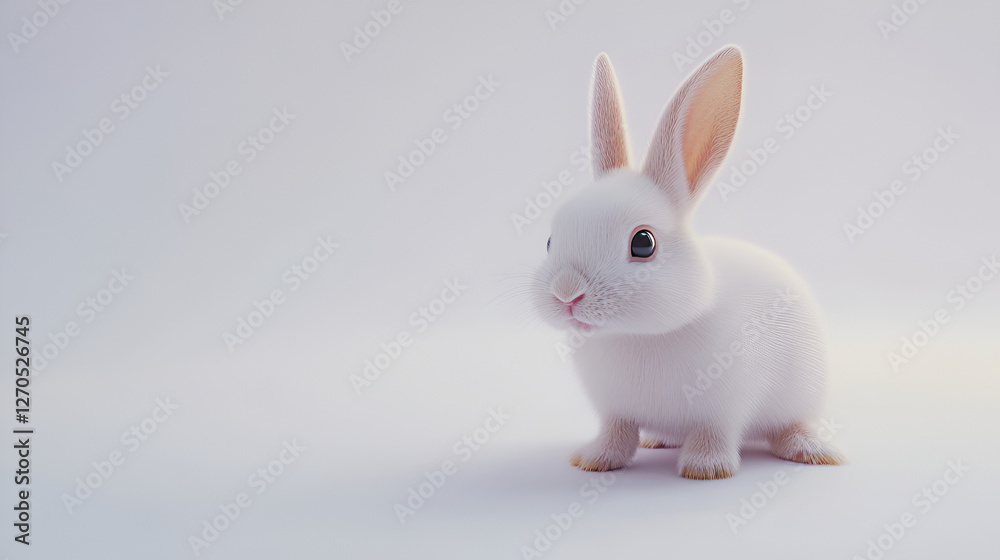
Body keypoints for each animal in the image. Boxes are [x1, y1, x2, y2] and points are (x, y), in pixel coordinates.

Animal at [532, 45, 845, 479]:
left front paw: (706, 468)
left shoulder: (726, 406)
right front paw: (593, 460)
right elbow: (616, 433)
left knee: (791, 425)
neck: (640, 336)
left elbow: (715, 432)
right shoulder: (614, 411)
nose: (566, 293)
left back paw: (811, 450)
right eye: (549, 241)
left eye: (643, 243)